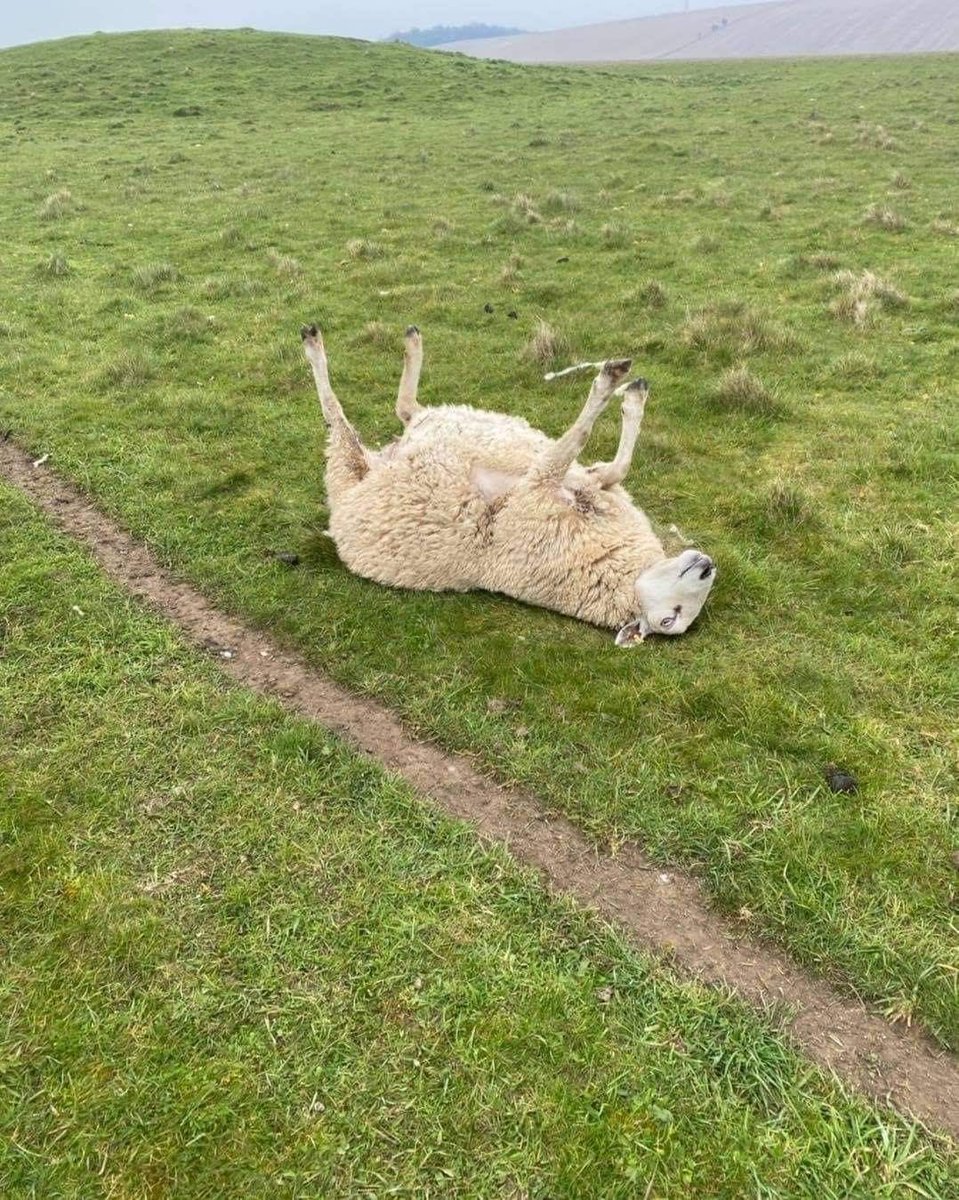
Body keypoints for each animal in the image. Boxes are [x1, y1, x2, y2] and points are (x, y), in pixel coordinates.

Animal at [301, 323, 716, 645]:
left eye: (669, 619)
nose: (707, 567)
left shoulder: (536, 490)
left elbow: (579, 443)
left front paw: (612, 385)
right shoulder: (581, 481)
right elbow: (611, 463)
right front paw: (630, 395)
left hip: (350, 465)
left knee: (345, 415)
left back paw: (318, 345)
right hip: (399, 437)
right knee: (403, 409)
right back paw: (401, 341)